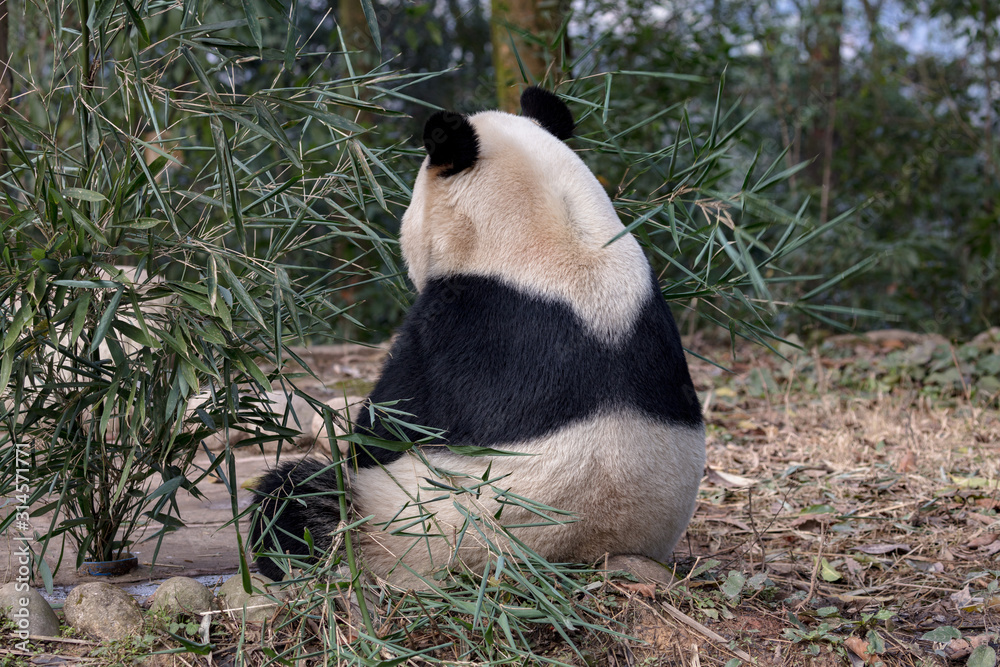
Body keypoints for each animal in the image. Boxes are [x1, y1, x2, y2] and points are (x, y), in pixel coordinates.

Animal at [249, 87, 705, 588]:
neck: (563, 240)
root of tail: (578, 554)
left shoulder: (457, 323)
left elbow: (388, 425)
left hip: (411, 530)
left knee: (302, 502)